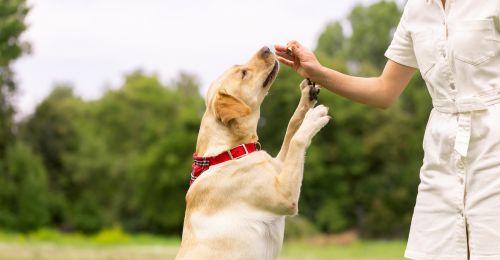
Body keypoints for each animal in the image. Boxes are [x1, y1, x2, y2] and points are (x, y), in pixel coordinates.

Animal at [177, 46, 332, 260]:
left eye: (240, 67)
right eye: (243, 73)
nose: (266, 47)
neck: (229, 151)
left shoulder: (279, 166)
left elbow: (291, 128)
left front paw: (307, 96)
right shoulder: (284, 196)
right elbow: (297, 140)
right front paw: (313, 118)